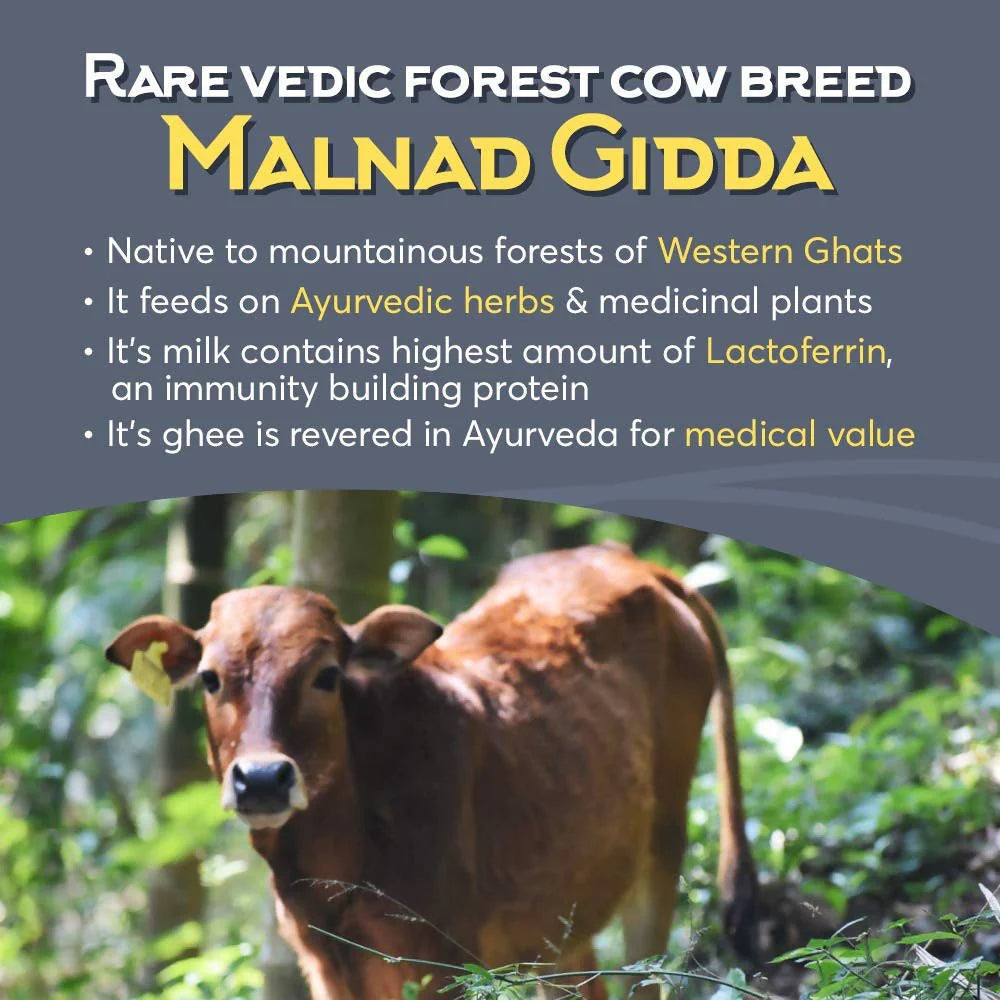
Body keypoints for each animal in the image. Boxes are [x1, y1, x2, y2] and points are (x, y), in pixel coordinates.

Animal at [106, 543, 758, 999]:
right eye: (210, 678)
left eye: (326, 674)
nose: (262, 779)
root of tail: (636, 562)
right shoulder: (325, 963)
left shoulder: (441, 958)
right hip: (562, 919)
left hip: (662, 852)